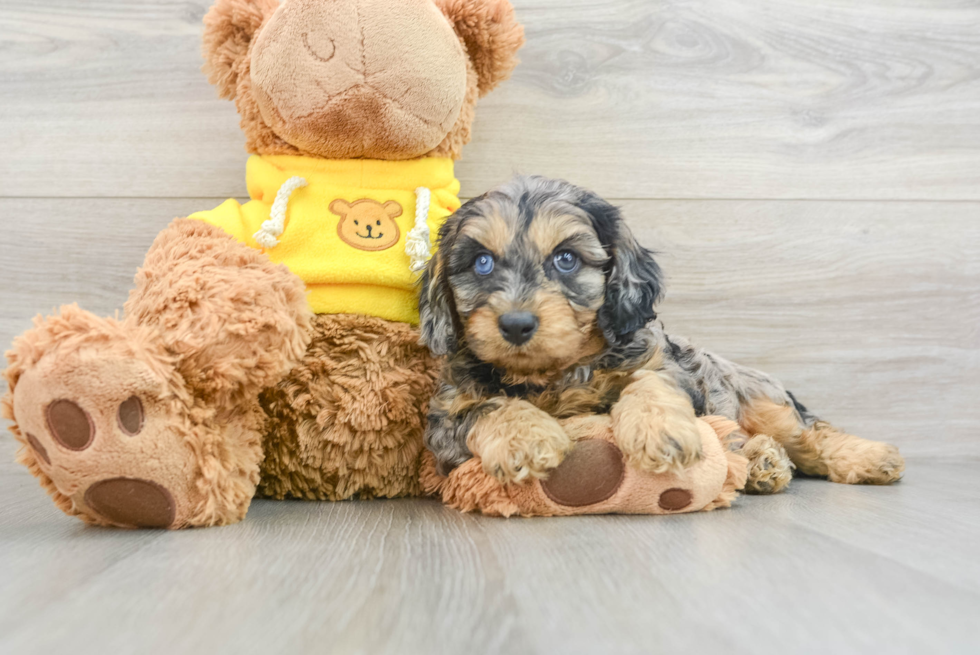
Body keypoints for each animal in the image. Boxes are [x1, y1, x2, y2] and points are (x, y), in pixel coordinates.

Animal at [418, 177, 908, 494]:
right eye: (481, 262)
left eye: (566, 259)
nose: (516, 324)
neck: (552, 374)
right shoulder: (444, 423)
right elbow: (488, 407)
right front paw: (527, 438)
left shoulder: (672, 368)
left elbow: (650, 381)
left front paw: (660, 430)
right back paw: (760, 464)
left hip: (765, 402)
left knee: (812, 434)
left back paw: (868, 457)